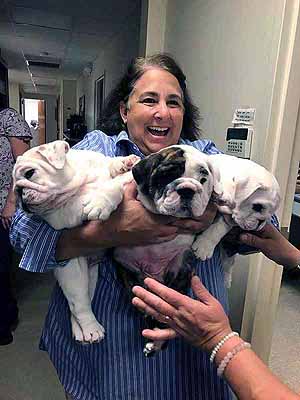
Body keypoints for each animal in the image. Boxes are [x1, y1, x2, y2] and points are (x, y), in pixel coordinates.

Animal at [13, 141, 140, 344]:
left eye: (29, 173)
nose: (18, 192)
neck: (76, 182)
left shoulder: (98, 162)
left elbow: (110, 166)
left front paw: (126, 162)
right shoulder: (63, 214)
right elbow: (98, 192)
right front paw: (100, 201)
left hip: (90, 276)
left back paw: (81, 331)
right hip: (72, 275)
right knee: (78, 303)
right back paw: (90, 329)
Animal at [191, 153, 280, 288]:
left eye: (271, 213)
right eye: (257, 207)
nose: (261, 222)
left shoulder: (229, 219)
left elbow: (216, 230)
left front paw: (204, 246)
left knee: (228, 265)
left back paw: (227, 280)